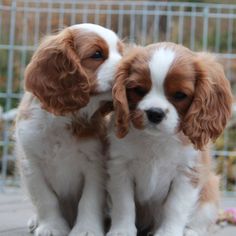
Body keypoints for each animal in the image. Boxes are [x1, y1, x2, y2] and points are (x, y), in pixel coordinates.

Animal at [15, 23, 123, 236]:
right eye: (97, 54)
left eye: (122, 53)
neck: (64, 117)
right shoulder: (31, 163)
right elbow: (45, 199)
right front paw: (51, 227)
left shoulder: (95, 164)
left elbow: (89, 201)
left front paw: (86, 229)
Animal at [107, 42, 232, 236]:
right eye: (138, 90)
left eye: (180, 95)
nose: (154, 113)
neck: (156, 139)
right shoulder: (120, 167)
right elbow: (124, 204)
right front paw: (122, 230)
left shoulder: (187, 172)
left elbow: (175, 207)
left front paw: (168, 232)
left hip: (210, 190)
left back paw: (192, 231)